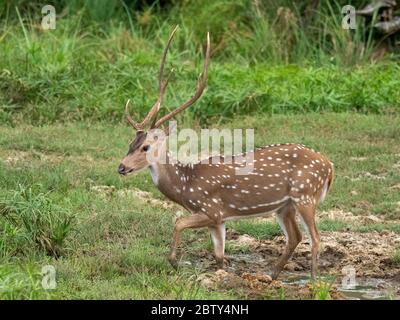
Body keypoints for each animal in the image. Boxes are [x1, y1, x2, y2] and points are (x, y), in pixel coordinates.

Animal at [118, 26, 334, 278]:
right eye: (130, 142)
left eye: (146, 146)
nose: (121, 167)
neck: (185, 185)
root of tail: (330, 167)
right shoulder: (218, 221)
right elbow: (219, 256)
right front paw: (220, 273)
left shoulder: (211, 210)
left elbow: (178, 222)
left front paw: (173, 261)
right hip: (285, 205)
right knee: (295, 237)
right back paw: (271, 274)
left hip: (306, 194)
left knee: (315, 237)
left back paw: (313, 278)